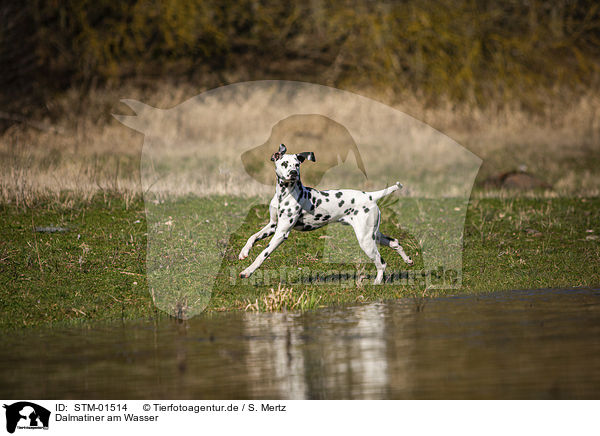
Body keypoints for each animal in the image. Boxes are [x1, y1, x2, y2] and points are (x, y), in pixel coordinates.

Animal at [238, 145, 412, 284]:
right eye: (284, 163)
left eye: (297, 164)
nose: (293, 173)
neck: (284, 194)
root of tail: (370, 195)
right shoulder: (273, 226)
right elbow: (252, 237)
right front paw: (244, 252)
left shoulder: (281, 233)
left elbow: (262, 254)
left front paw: (248, 271)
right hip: (373, 235)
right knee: (395, 242)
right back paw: (408, 260)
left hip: (366, 241)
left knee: (381, 263)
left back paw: (376, 283)